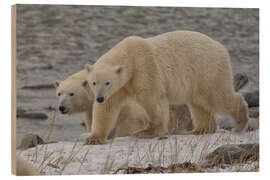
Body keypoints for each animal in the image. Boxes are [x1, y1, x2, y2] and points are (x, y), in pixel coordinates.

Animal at [84, 30, 249, 144]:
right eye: (93, 82)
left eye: (107, 82)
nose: (99, 98)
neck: (129, 56)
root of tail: (221, 46)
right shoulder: (121, 86)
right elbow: (107, 108)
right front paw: (93, 138)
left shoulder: (145, 68)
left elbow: (153, 99)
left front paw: (145, 131)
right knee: (199, 103)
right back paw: (200, 129)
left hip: (207, 69)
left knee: (217, 96)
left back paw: (240, 121)